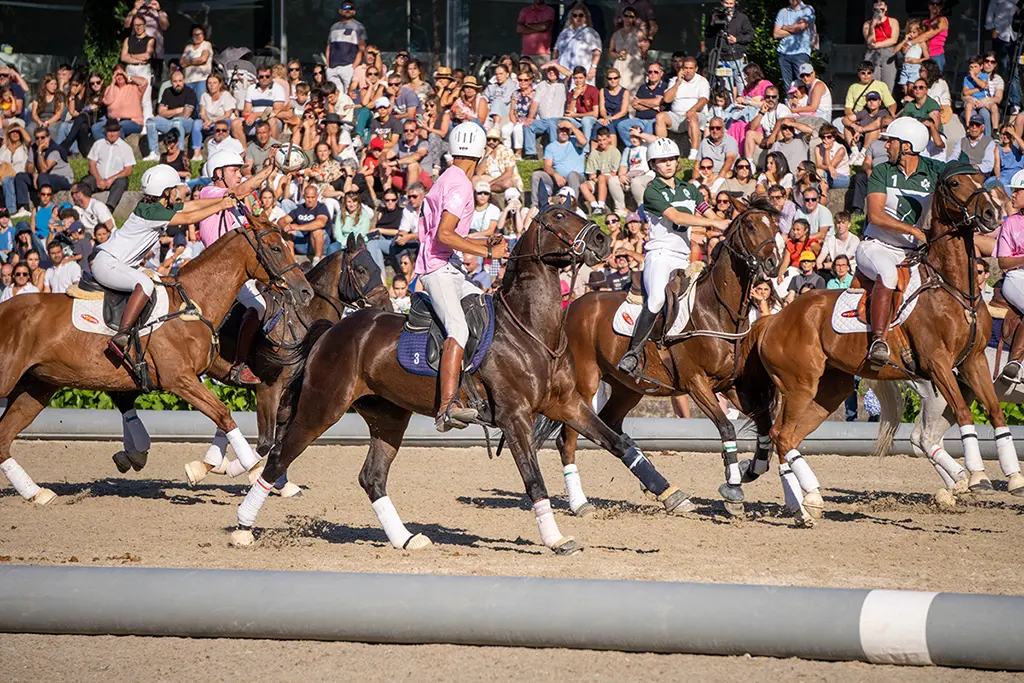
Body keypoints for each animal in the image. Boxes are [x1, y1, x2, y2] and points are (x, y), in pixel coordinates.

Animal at [0, 206, 313, 505]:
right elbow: (224, 414)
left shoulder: (203, 372)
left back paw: (37, 493)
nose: (305, 291)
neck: (193, 303)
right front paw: (249, 467)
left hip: (37, 387)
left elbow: (227, 413)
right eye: (275, 248)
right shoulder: (180, 380)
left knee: (3, 438)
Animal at [104, 235, 392, 487]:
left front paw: (274, 481)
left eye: (378, 268)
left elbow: (278, 441)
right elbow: (265, 442)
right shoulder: (268, 389)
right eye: (362, 270)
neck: (299, 319)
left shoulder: (290, 394)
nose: (387, 308)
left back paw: (130, 455)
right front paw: (232, 469)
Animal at [229, 206, 697, 554]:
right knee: (278, 456)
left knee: (371, 478)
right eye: (558, 215)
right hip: (323, 406)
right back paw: (242, 528)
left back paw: (405, 539)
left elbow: (619, 443)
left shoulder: (566, 404)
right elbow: (534, 479)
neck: (532, 329)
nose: (602, 239)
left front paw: (673, 495)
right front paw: (556, 538)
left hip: (388, 416)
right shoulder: (515, 417)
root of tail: (333, 329)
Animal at [538, 198, 780, 517]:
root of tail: (571, 307)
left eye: (775, 225)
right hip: (584, 383)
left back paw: (667, 491)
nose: (773, 263)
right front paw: (734, 490)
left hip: (627, 387)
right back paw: (581, 503)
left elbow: (765, 423)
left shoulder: (730, 385)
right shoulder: (696, 383)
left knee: (612, 427)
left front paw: (749, 469)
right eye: (751, 226)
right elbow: (727, 427)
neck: (717, 310)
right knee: (568, 439)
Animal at [733, 164, 1010, 526]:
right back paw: (805, 506)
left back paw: (810, 501)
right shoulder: (937, 362)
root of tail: (773, 320)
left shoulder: (973, 361)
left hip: (828, 391)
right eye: (954, 183)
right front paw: (978, 475)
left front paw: (1012, 476)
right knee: (782, 434)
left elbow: (995, 411)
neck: (952, 288)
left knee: (787, 436)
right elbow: (965, 412)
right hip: (800, 386)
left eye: (981, 178)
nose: (993, 214)